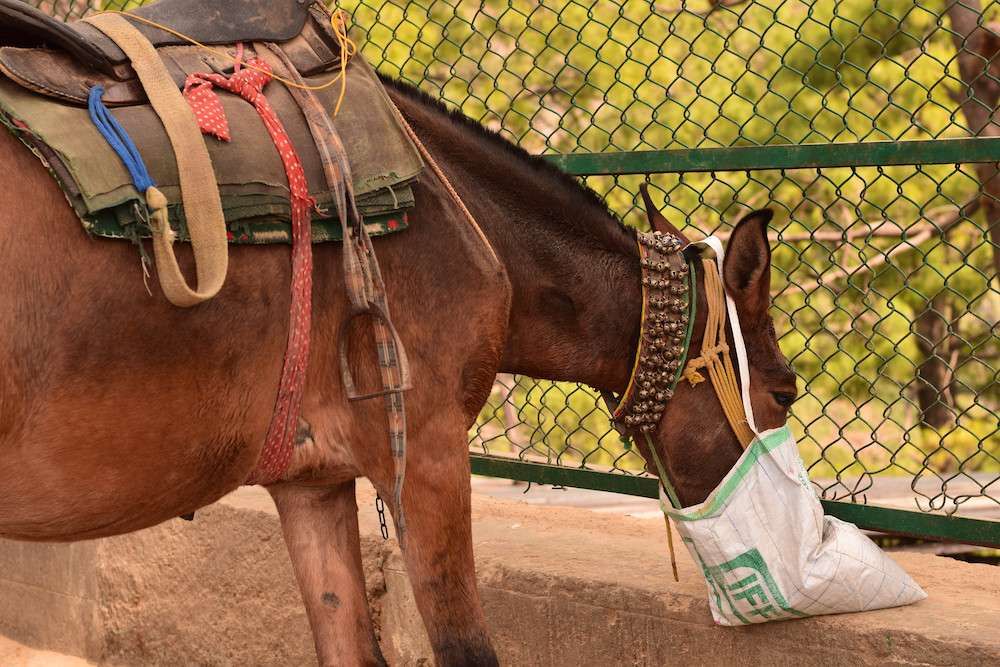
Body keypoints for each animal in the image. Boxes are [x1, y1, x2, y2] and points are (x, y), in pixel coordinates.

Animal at [0, 74, 797, 665]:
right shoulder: (429, 452)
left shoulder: (310, 478)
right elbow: (466, 649)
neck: (461, 219)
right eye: (786, 393)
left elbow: (348, 645)